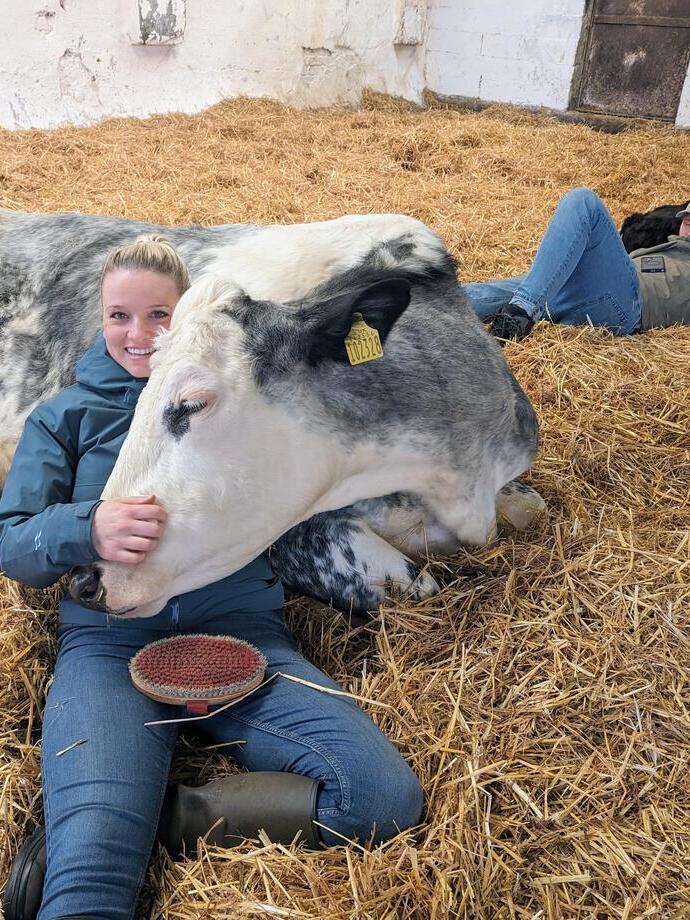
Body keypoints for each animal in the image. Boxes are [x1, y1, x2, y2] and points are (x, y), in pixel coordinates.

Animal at [0, 209, 544, 615]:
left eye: (192, 403)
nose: (86, 575)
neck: (457, 478)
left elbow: (530, 506)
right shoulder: (296, 540)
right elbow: (415, 585)